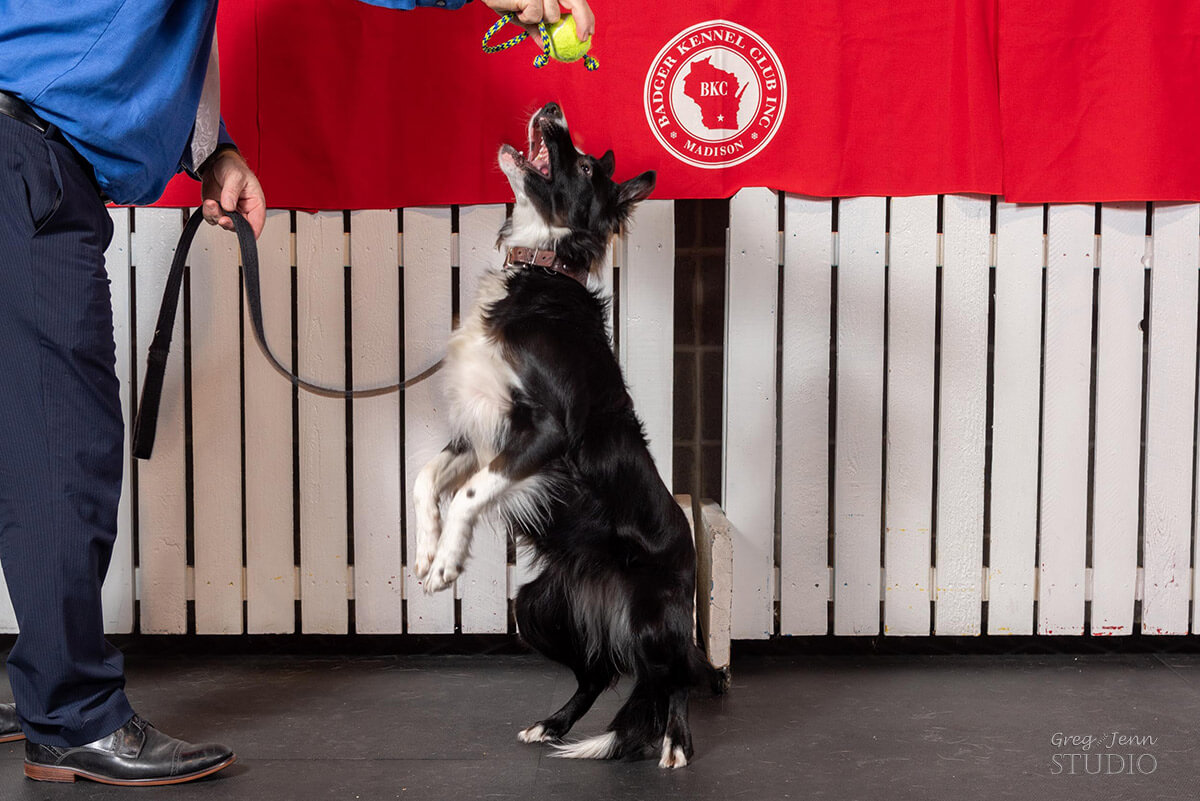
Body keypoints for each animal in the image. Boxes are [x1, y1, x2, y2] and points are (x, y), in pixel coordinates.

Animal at [412, 103, 720, 767]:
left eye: (580, 166)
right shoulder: (478, 431)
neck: (539, 268)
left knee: (676, 674)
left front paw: (447, 563)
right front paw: (426, 552)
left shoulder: (546, 431)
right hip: (537, 607)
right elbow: (426, 478)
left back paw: (675, 743)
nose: (551, 109)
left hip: (656, 621)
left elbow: (469, 493)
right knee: (600, 672)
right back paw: (551, 725)